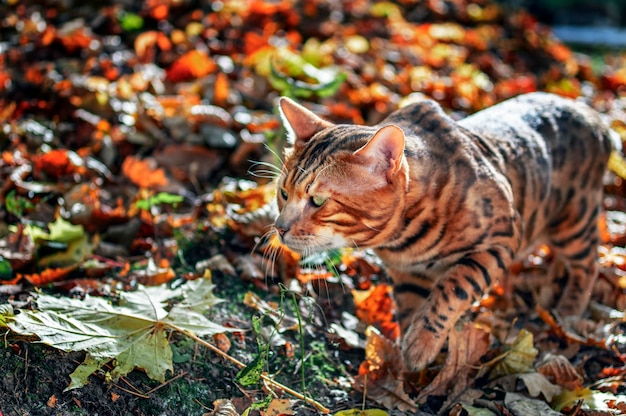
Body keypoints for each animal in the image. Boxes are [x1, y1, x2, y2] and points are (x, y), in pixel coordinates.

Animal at [272, 93, 608, 370]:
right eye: (284, 194)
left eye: (318, 201)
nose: (279, 227)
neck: (403, 239)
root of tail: (593, 118)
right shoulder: (408, 273)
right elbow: (411, 307)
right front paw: (411, 355)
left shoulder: (501, 240)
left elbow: (455, 285)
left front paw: (421, 344)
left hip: (574, 222)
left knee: (589, 264)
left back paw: (568, 312)